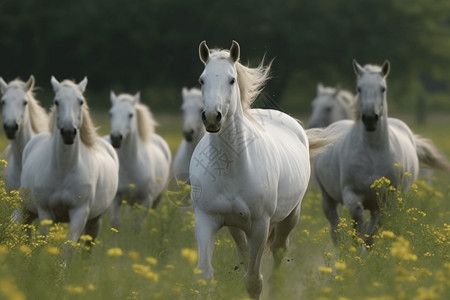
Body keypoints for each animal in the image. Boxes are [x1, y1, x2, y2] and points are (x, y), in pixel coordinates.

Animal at [20, 77, 118, 244]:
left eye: (81, 101)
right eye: (57, 101)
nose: (68, 132)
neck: (64, 168)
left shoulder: (80, 212)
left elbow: (68, 246)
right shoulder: (45, 211)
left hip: (95, 220)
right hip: (26, 209)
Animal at [108, 90, 171, 229]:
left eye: (130, 115)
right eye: (111, 114)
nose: (116, 138)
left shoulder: (146, 201)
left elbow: (137, 226)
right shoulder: (116, 199)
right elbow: (116, 223)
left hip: (156, 199)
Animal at [192, 41, 318, 298]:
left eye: (231, 80)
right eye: (202, 80)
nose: (212, 117)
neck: (230, 170)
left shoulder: (260, 226)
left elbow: (253, 281)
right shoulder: (205, 220)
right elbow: (205, 275)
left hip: (290, 217)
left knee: (279, 251)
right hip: (236, 228)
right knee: (243, 253)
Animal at [312, 61, 450, 246]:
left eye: (382, 88)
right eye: (359, 88)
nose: (370, 119)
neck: (374, 152)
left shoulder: (387, 202)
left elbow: (370, 236)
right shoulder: (352, 198)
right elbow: (358, 232)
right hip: (328, 199)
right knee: (336, 231)